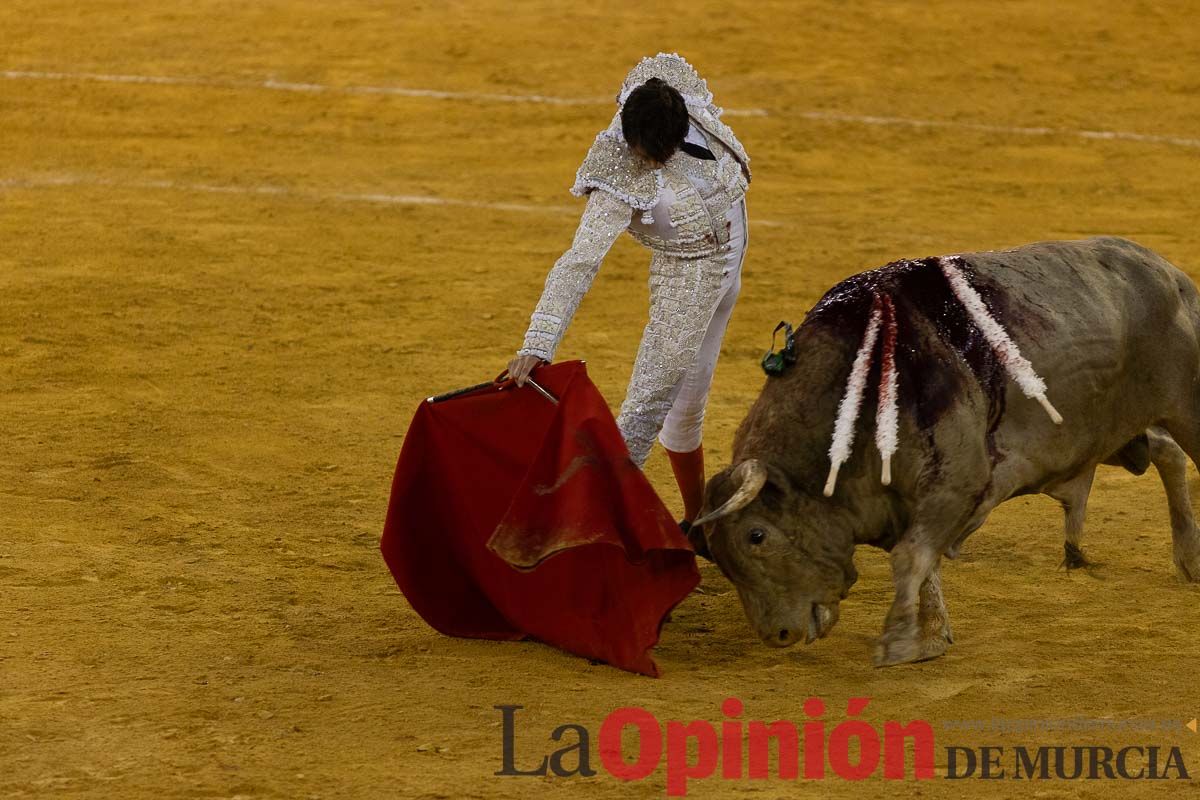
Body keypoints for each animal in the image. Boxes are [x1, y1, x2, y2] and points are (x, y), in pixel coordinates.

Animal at [696, 237, 1200, 671]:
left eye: (756, 536)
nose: (776, 635)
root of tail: (1173, 275)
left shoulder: (956, 485)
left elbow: (912, 557)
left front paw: (899, 641)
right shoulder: (907, 503)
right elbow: (924, 563)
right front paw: (933, 636)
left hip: (1181, 408)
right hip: (1111, 435)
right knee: (1166, 453)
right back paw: (1185, 557)